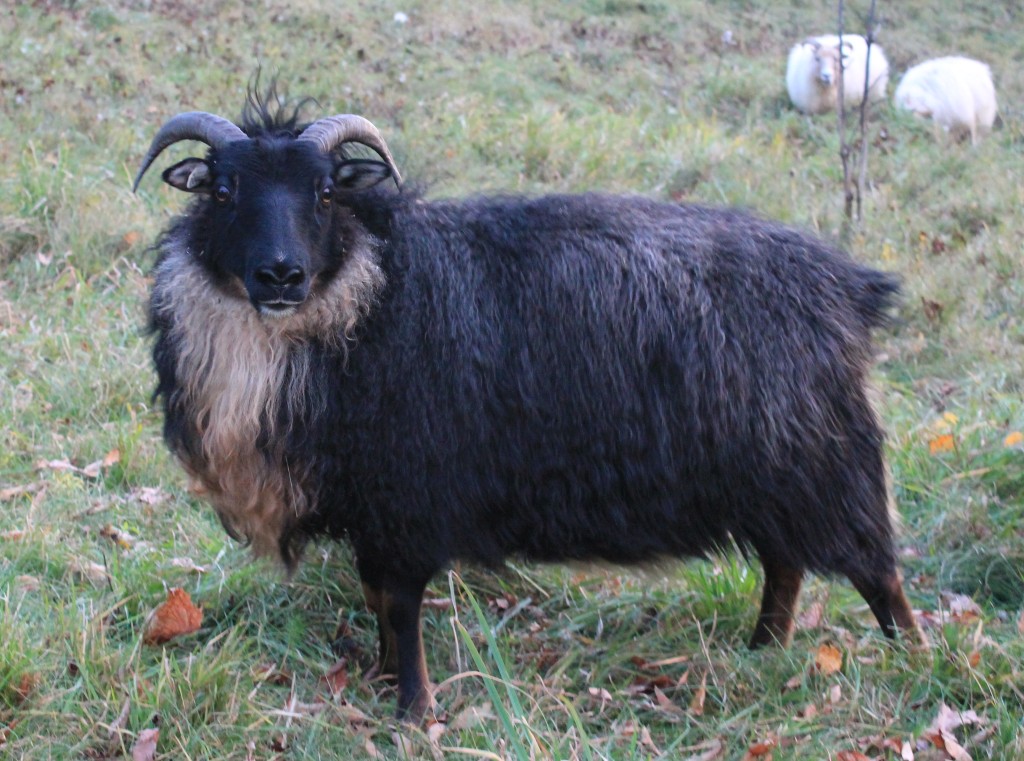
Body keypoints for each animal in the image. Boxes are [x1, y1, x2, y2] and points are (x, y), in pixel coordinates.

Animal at [133, 90, 925, 721]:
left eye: (327, 193)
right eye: (222, 191)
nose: (281, 275)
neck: (374, 290)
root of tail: (847, 285)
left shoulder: (413, 498)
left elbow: (400, 605)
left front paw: (413, 708)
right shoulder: (375, 505)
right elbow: (376, 598)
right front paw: (386, 680)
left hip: (825, 460)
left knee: (877, 570)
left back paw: (915, 661)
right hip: (777, 472)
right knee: (786, 564)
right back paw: (761, 651)